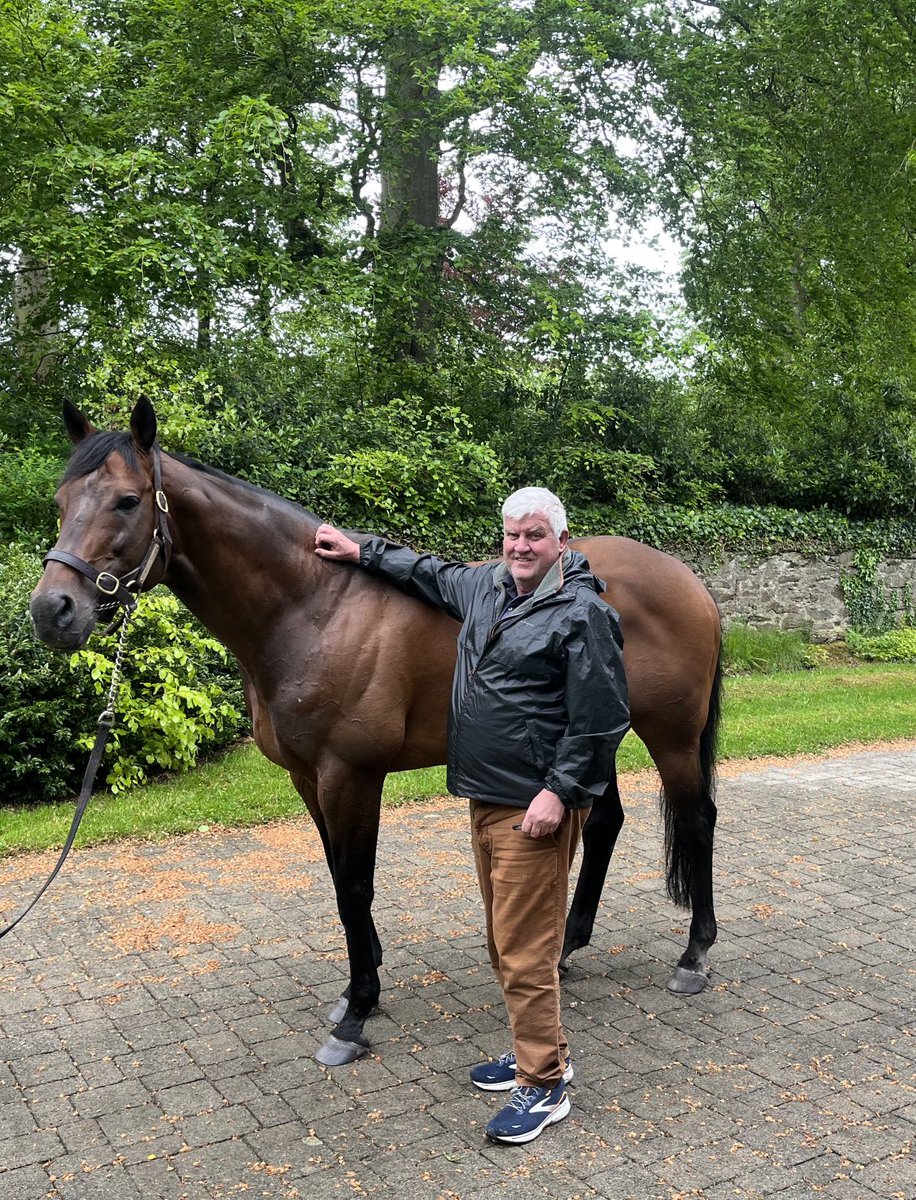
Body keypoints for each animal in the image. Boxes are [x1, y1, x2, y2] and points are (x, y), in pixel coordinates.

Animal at [28, 398, 725, 1065]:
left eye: (127, 500)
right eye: (61, 503)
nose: (51, 611)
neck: (313, 607)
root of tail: (690, 583)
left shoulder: (351, 775)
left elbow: (357, 883)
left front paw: (358, 1013)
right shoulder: (309, 779)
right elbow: (341, 881)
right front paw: (356, 991)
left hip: (668, 736)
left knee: (696, 819)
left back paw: (694, 957)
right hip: (594, 736)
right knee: (605, 821)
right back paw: (567, 948)